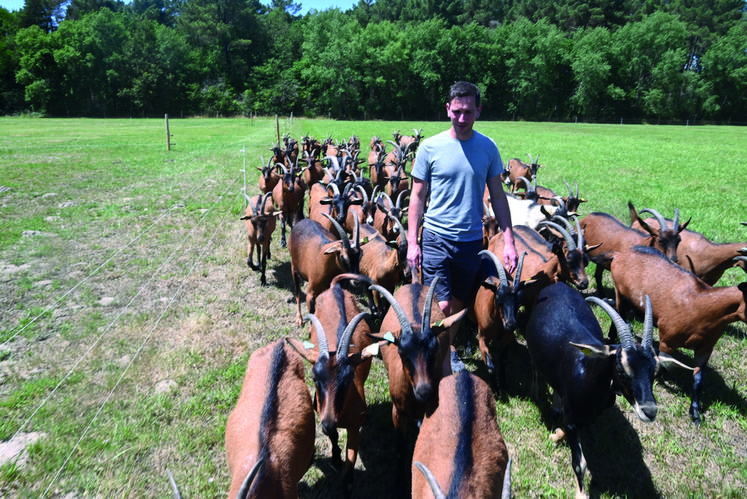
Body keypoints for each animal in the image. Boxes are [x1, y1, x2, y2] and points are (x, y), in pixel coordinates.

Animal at [608, 244, 747, 424]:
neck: (700, 304)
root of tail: (621, 253)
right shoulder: (667, 341)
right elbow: (664, 366)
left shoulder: (705, 348)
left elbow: (698, 380)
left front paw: (695, 413)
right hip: (620, 292)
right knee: (618, 310)